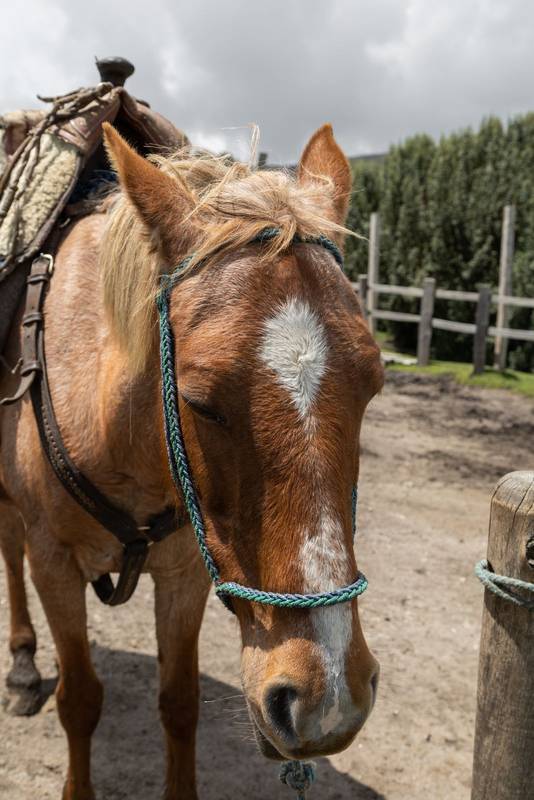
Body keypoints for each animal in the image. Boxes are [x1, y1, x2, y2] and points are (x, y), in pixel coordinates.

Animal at [0, 121, 384, 799]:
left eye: (374, 385)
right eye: (199, 401)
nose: (327, 697)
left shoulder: (184, 573)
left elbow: (179, 702)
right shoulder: (55, 565)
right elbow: (80, 699)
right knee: (8, 550)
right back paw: (22, 667)